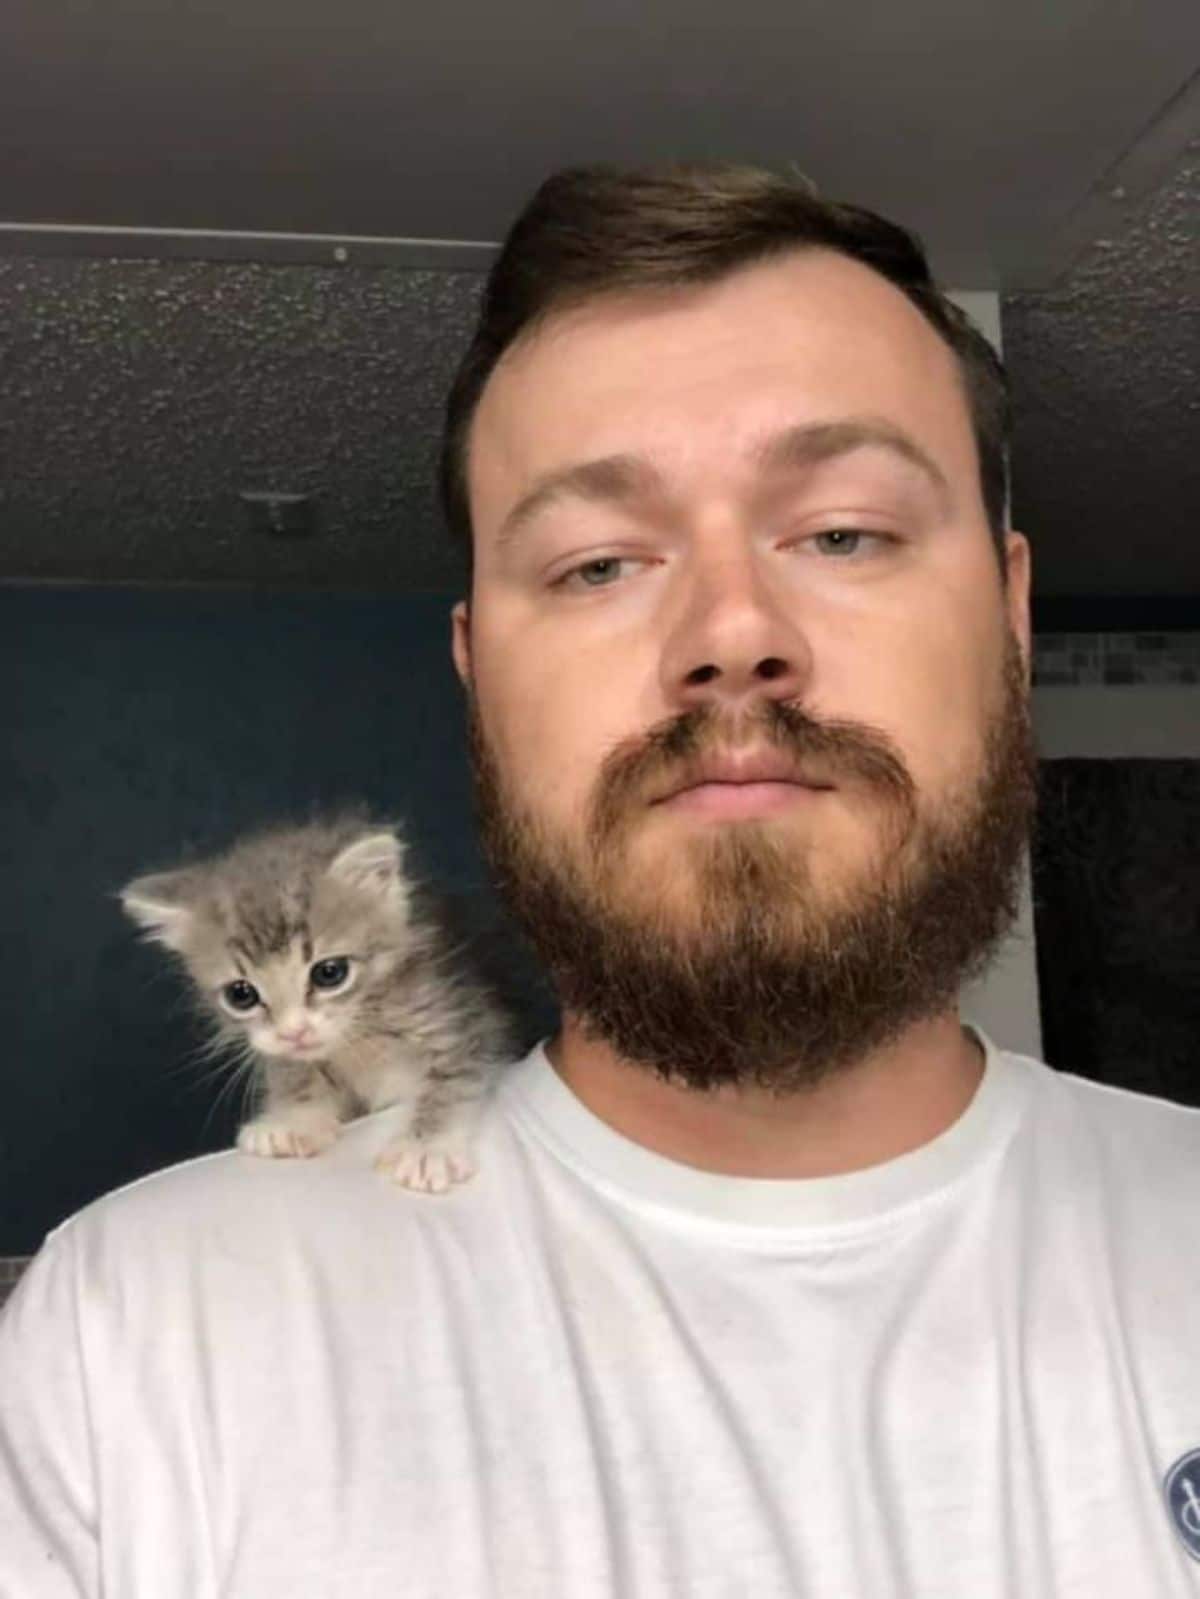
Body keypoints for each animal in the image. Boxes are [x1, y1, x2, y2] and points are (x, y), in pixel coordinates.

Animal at [120, 818, 518, 1196]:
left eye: (330, 973)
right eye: (241, 994)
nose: (294, 1031)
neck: (362, 1032)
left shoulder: (463, 1012)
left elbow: (455, 1075)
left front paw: (426, 1148)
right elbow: (292, 1067)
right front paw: (294, 1119)